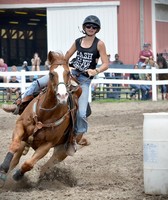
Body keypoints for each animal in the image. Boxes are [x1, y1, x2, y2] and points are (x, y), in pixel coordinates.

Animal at [0, 50, 81, 187]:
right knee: (15, 159)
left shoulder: (47, 145)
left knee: (45, 166)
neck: (44, 114)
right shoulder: (20, 126)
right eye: (51, 73)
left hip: (61, 152)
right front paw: (4, 167)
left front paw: (18, 175)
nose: (62, 95)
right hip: (25, 141)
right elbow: (14, 146)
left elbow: (29, 164)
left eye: (68, 73)